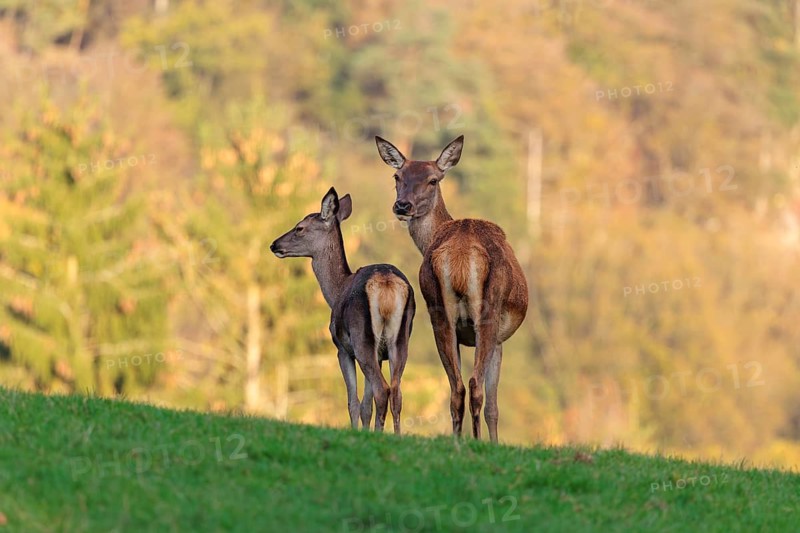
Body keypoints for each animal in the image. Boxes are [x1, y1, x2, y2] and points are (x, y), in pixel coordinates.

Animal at [270, 187, 415, 434]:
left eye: (300, 227)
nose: (274, 244)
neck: (336, 291)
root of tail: (386, 283)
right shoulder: (379, 355)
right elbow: (366, 405)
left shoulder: (342, 349)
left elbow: (353, 402)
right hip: (400, 340)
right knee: (396, 392)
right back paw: (396, 435)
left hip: (361, 337)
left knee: (382, 390)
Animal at [375, 135, 528, 442]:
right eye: (397, 176)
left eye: (432, 180)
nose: (402, 205)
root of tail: (460, 253)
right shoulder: (500, 339)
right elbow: (494, 406)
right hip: (488, 312)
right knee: (475, 385)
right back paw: (475, 441)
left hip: (437, 310)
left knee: (457, 388)